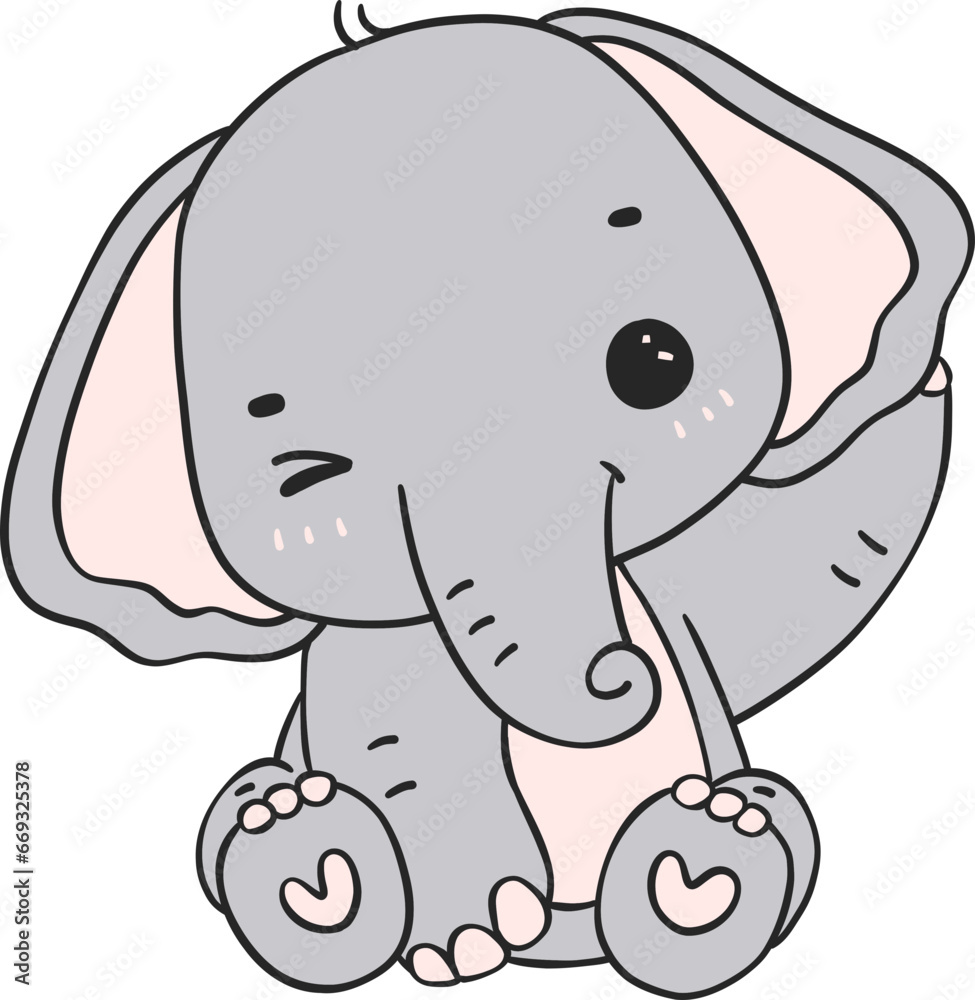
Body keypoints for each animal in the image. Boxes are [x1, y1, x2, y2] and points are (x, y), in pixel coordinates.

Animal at [3, 4, 971, 995]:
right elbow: (395, 742)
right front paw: (468, 942)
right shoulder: (373, 653)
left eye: (655, 360)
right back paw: (297, 841)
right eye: (305, 482)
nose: (620, 675)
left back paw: (712, 850)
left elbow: (791, 590)